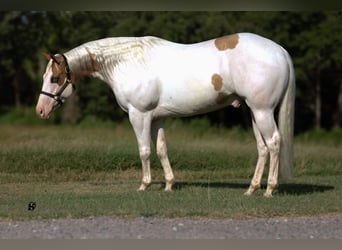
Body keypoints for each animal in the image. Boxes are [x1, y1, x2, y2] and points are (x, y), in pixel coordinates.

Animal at [36, 32, 296, 197]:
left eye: (55, 78)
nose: (40, 110)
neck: (128, 61)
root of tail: (281, 51)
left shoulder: (139, 115)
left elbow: (144, 151)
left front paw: (144, 185)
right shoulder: (156, 118)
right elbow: (161, 149)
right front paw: (169, 184)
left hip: (262, 111)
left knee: (274, 143)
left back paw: (270, 189)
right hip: (254, 112)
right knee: (262, 148)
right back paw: (252, 189)